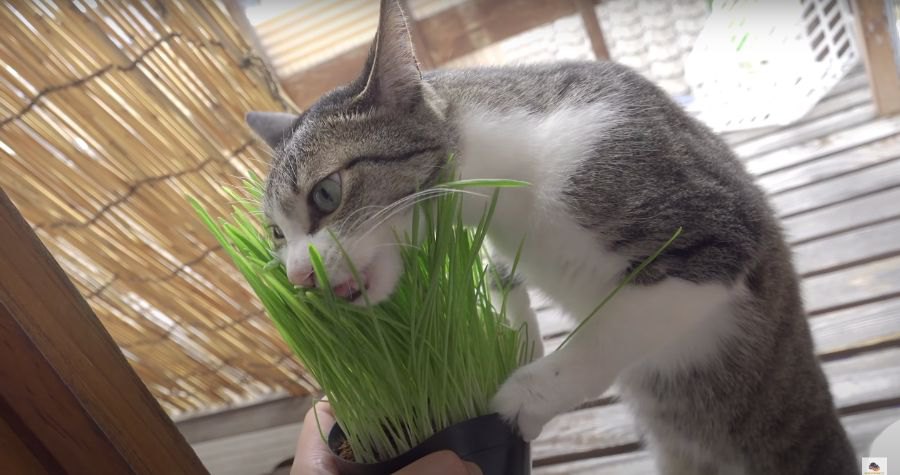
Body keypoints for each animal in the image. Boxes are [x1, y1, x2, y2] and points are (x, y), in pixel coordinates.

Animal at [248, 1, 856, 474]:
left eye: (326, 194)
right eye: (277, 234)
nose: (299, 273)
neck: (520, 188)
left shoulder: (716, 239)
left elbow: (605, 333)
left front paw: (525, 397)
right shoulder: (500, 247)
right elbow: (504, 290)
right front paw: (512, 343)